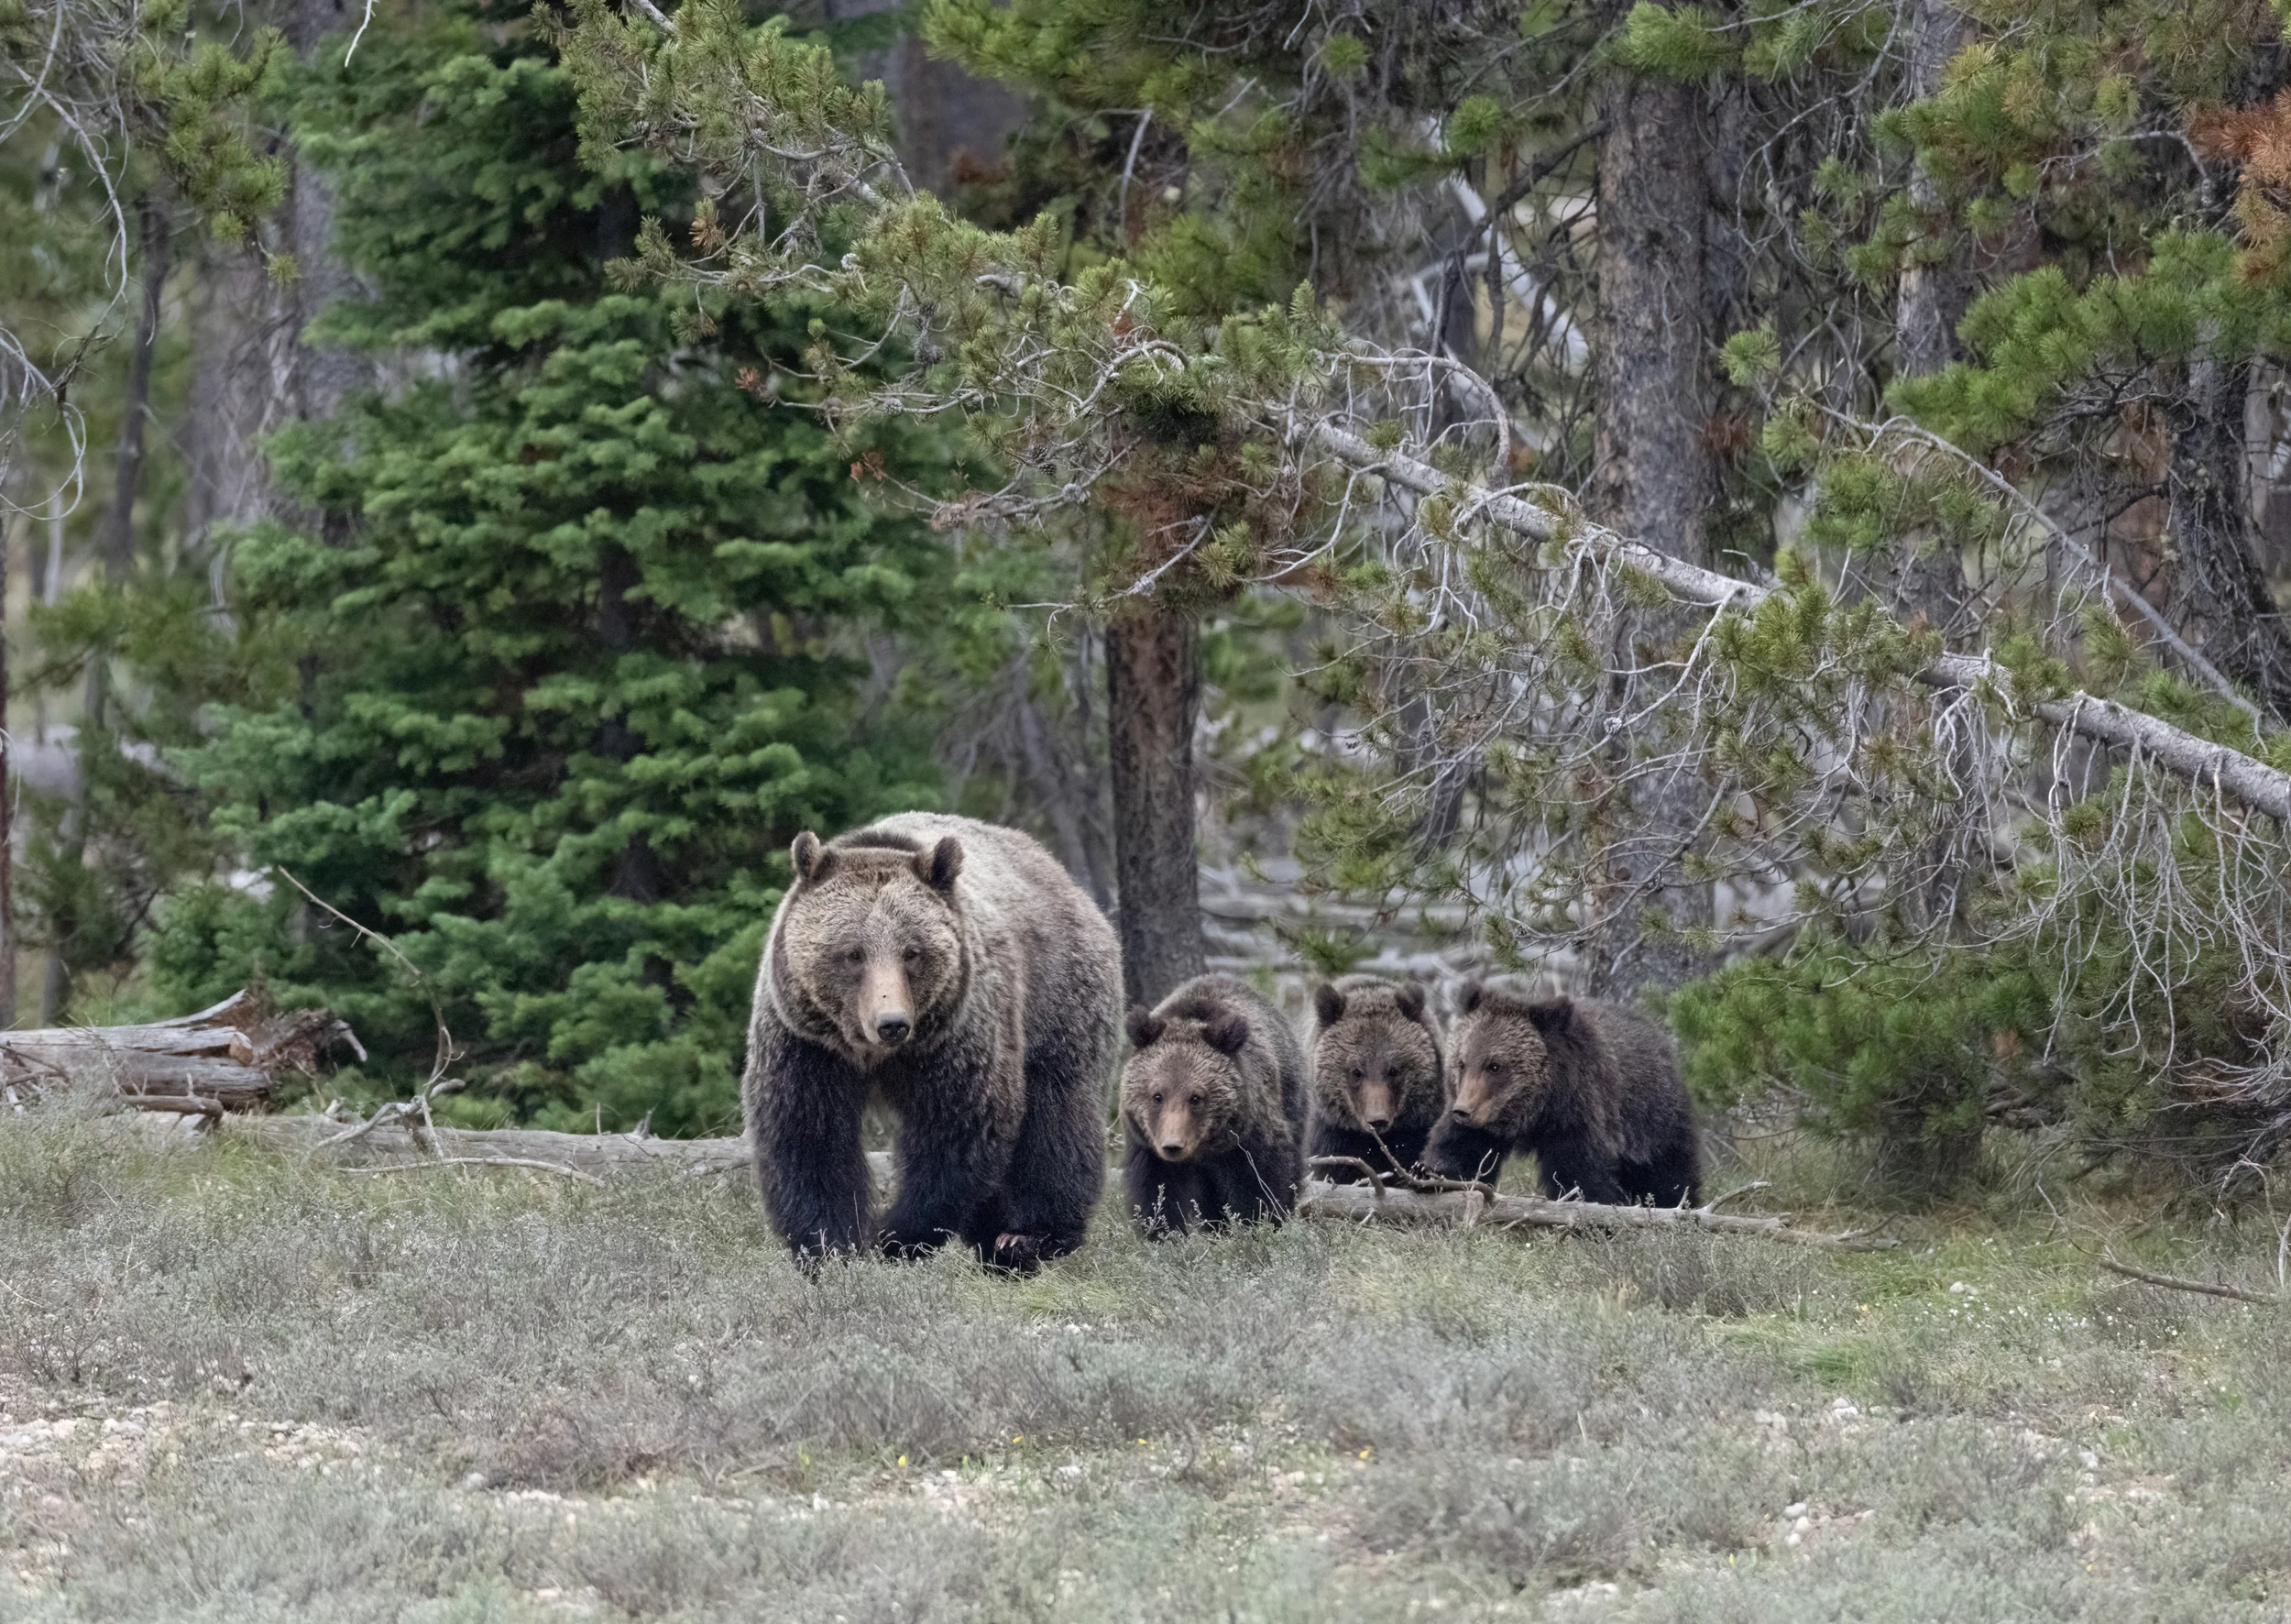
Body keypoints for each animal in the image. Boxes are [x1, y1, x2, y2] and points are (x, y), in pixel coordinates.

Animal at [741, 812, 1121, 1272]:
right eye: (853, 953)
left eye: (911, 952)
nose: (892, 1023)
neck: (875, 1056)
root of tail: (1060, 874)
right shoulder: (807, 1042)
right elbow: (809, 1137)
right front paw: (831, 1247)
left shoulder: (956, 1035)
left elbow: (957, 1130)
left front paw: (895, 1237)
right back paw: (994, 1236)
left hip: (1058, 998)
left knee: (1058, 1114)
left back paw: (1028, 1237)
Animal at [1119, 974, 1311, 1236]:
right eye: (1157, 1096)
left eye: (1196, 1097)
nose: (1173, 1146)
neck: (1205, 1149)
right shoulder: (1148, 1147)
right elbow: (1157, 1192)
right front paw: (1164, 1233)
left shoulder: (1252, 1138)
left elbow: (1263, 1186)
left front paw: (1258, 1226)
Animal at [1305, 974, 1448, 1183]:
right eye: (1356, 1071)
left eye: (1393, 1070)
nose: (1377, 1119)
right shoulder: (1331, 1140)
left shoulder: (1419, 1128)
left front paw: (1421, 1170)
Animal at [1420, 983, 1700, 1206]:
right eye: (1462, 1063)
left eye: (1495, 1066)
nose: (1463, 1111)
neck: (1537, 1112)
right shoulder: (1483, 1123)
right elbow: (1461, 1151)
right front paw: (1429, 1171)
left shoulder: (1576, 1118)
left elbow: (1579, 1174)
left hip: (1652, 1121)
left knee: (1668, 1173)